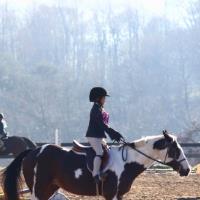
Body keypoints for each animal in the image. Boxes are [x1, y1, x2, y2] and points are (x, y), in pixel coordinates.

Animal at [2, 130, 191, 199]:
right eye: (176, 149)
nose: (187, 170)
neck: (127, 162)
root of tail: (33, 151)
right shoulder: (111, 195)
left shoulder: (118, 196)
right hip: (38, 189)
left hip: (49, 189)